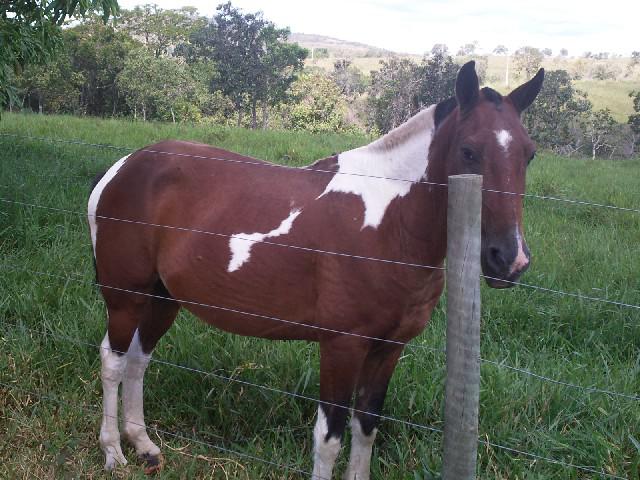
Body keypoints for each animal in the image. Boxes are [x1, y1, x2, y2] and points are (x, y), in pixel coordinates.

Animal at [86, 62, 544, 478]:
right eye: (468, 150)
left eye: (529, 153)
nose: (510, 260)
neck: (390, 225)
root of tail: (123, 166)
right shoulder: (342, 346)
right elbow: (329, 439)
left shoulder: (389, 349)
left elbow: (366, 429)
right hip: (126, 298)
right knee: (113, 361)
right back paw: (113, 452)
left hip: (163, 298)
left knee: (139, 360)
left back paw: (143, 445)